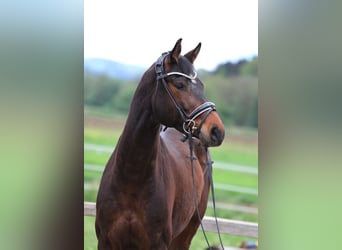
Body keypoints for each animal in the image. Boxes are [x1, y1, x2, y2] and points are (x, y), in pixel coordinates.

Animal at [95, 39, 224, 250]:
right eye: (180, 84)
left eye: (202, 86)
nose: (217, 130)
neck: (132, 177)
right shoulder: (106, 242)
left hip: (184, 236)